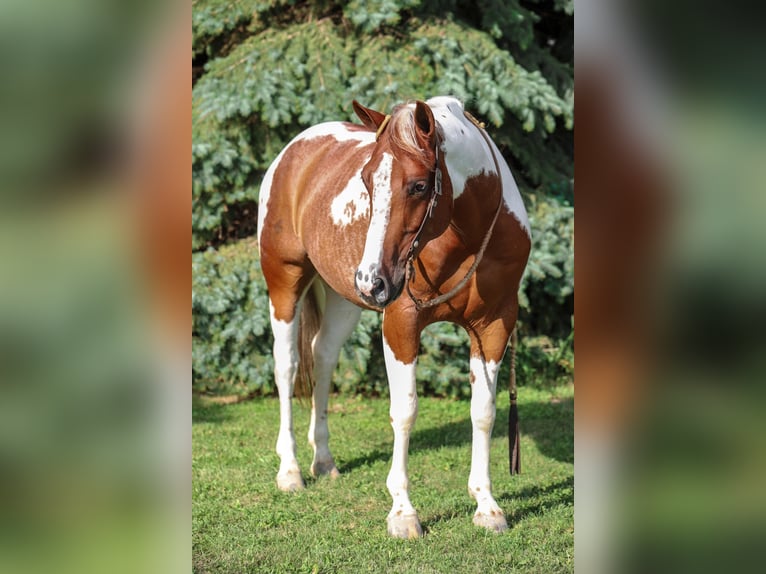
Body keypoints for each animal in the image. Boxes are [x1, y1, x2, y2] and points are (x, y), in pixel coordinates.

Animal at [255, 95, 532, 540]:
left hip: (344, 300)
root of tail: (295, 149)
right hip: (285, 282)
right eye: (367, 181)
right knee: (288, 367)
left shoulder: (494, 327)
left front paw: (487, 505)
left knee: (323, 357)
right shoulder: (401, 324)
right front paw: (403, 512)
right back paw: (291, 470)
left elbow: (484, 412)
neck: (466, 239)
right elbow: (404, 411)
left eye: (419, 185)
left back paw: (324, 460)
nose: (373, 281)